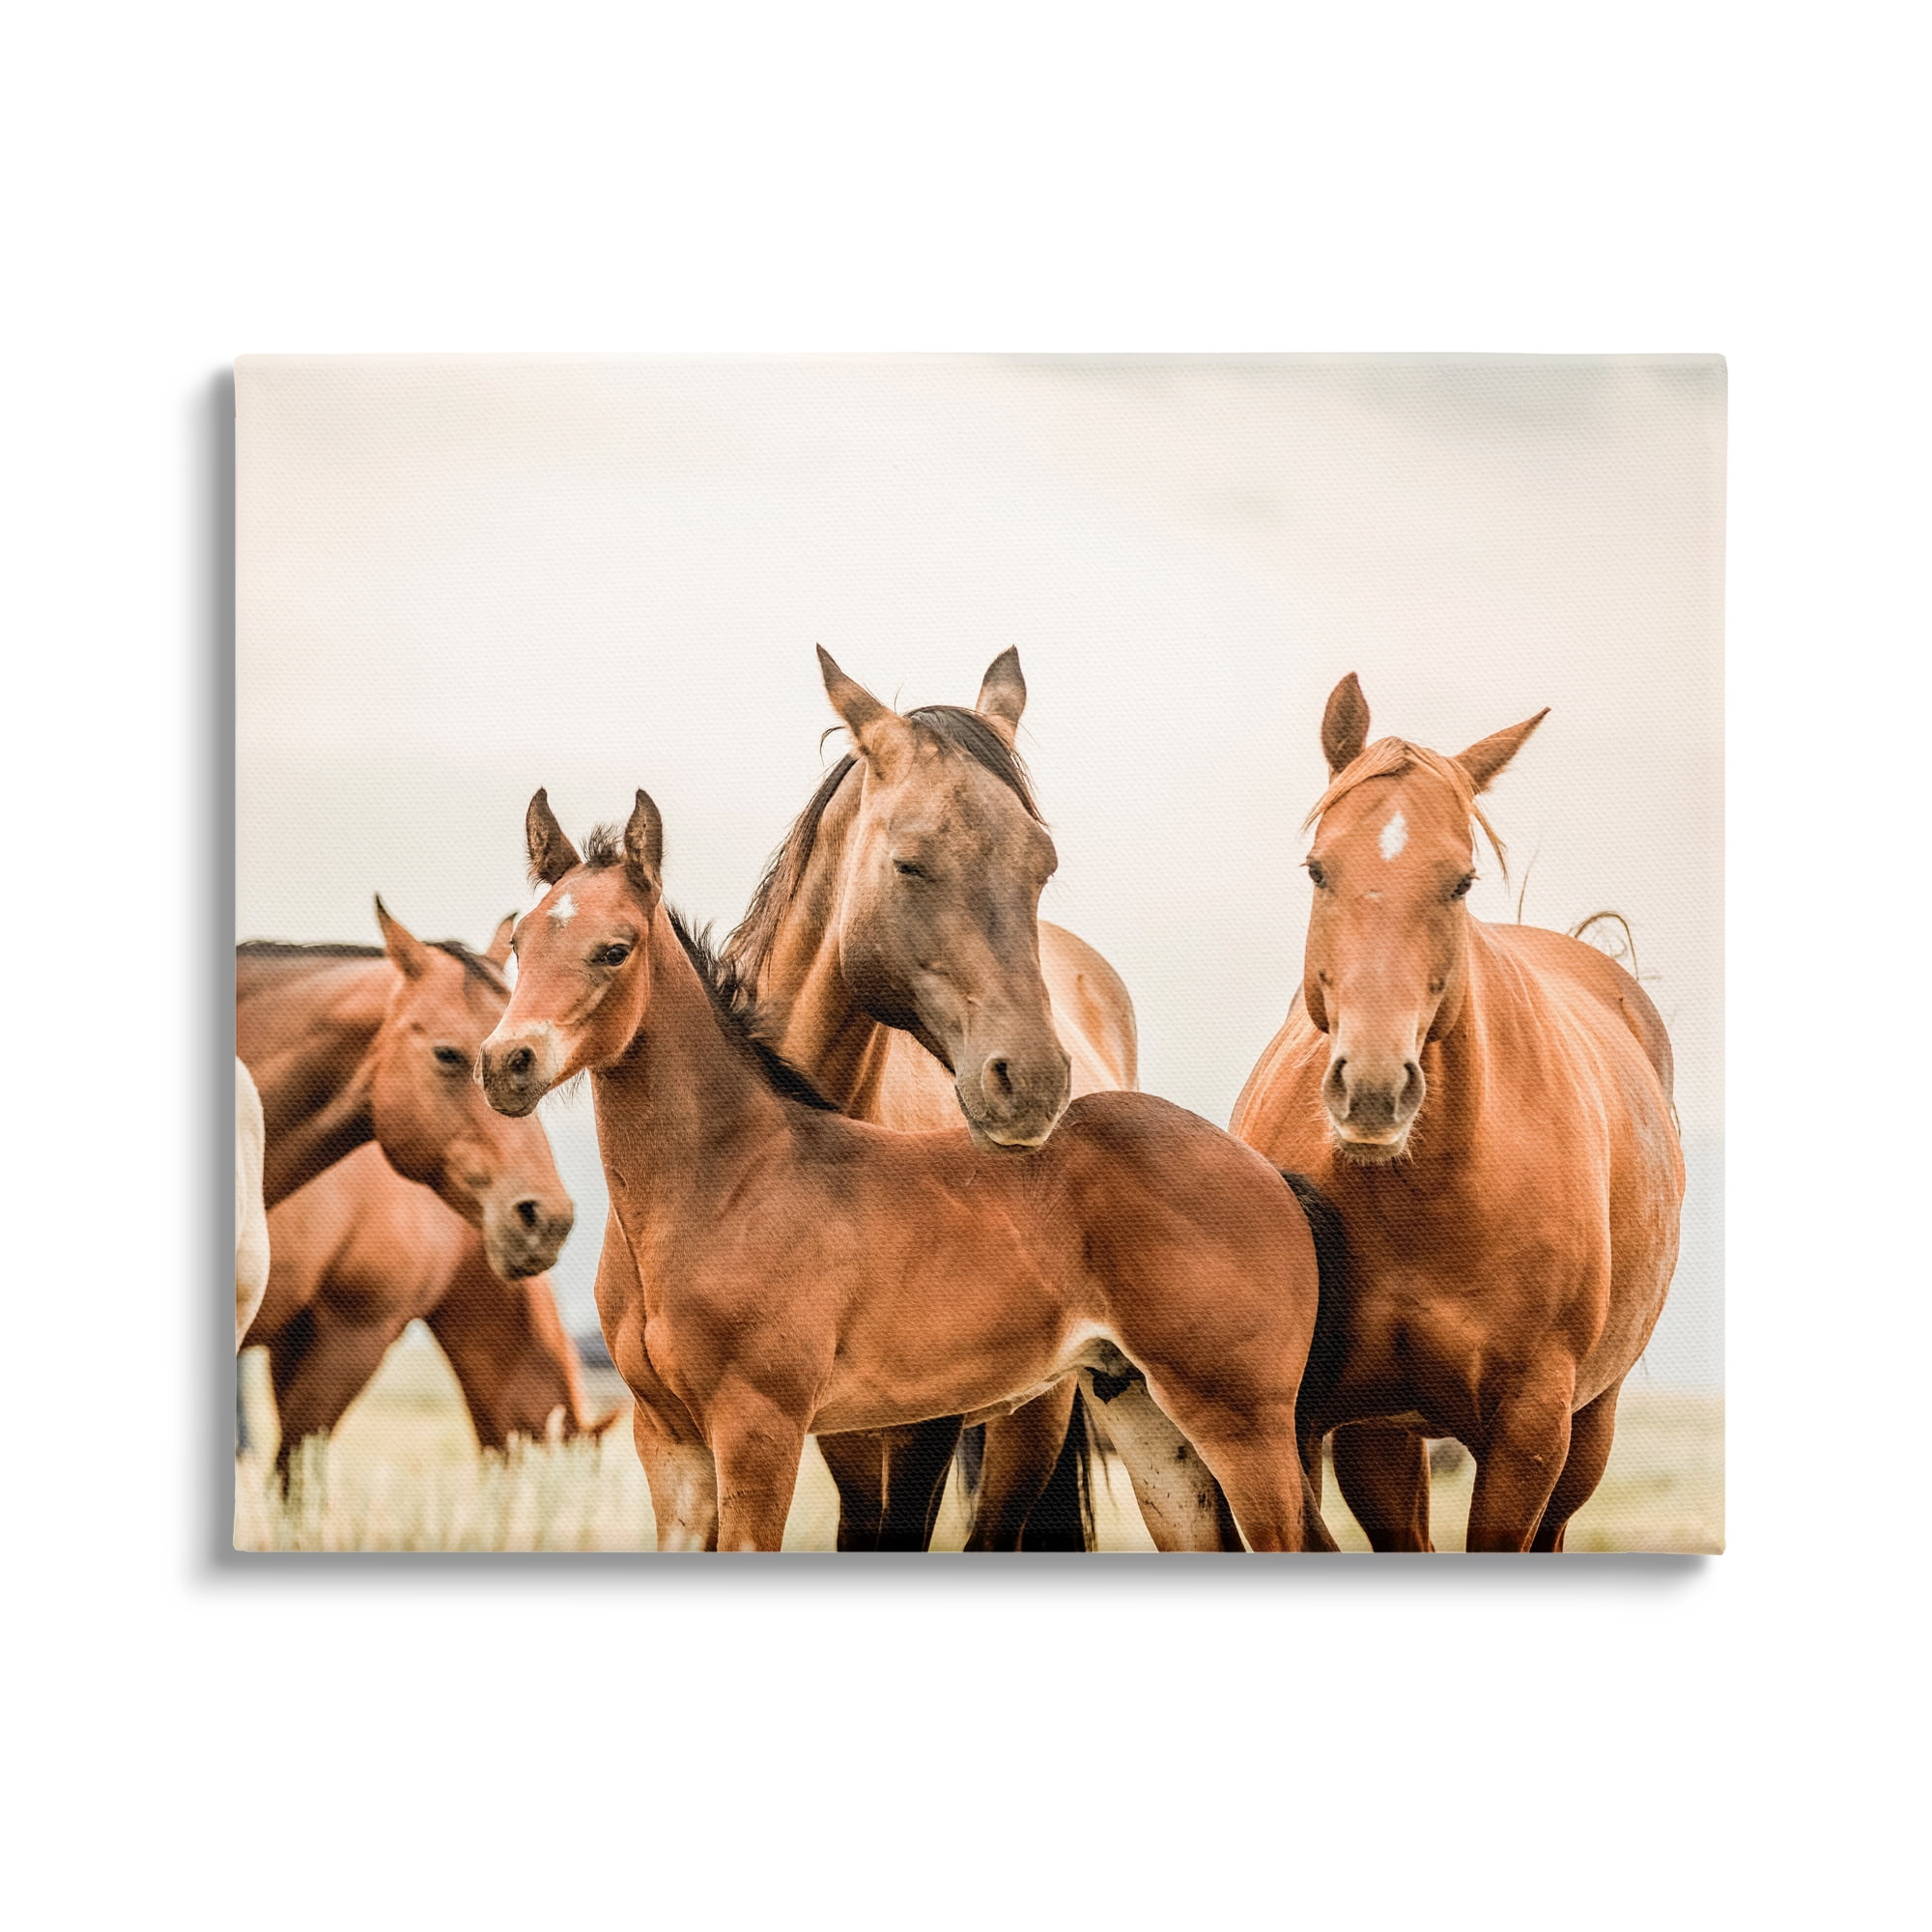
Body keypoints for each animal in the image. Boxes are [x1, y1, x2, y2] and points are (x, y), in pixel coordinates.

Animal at [479, 788, 1335, 1553]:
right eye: (520, 945)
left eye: (614, 948)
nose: (505, 1063)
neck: (723, 1183)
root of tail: (1265, 1172)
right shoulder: (669, 1443)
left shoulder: (759, 1430)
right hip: (1150, 1423)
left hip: (1241, 1424)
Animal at [715, 646, 1140, 1550]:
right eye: (908, 863)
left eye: (1042, 865)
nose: (1034, 1082)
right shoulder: (840, 1435)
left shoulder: (925, 1429)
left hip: (1032, 1417)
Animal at [1229, 675, 1685, 1551]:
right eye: (1318, 870)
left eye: (1462, 881)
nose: (1374, 1088)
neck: (1423, 1200)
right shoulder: (1304, 1424)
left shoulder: (1531, 1432)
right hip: (1384, 1440)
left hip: (1588, 1429)